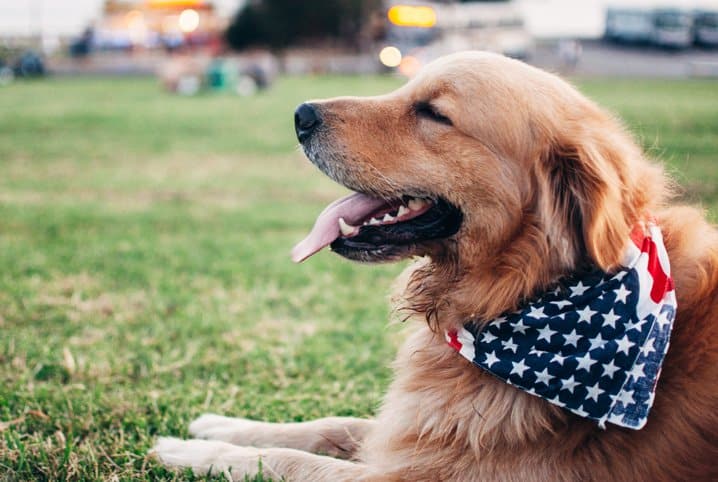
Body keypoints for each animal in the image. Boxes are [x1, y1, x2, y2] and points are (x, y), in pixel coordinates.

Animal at [153, 50, 718, 480]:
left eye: (433, 113)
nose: (300, 114)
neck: (521, 292)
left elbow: (285, 461)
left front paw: (192, 451)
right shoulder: (414, 431)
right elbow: (329, 424)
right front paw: (219, 425)